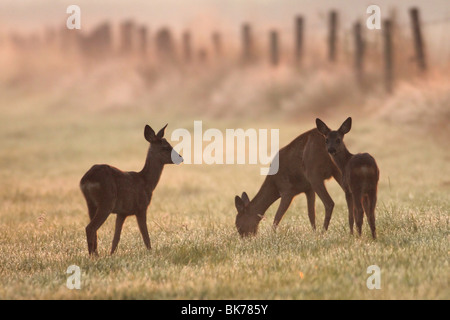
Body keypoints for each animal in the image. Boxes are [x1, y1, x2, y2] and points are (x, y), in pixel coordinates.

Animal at [79, 123, 183, 255]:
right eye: (165, 147)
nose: (181, 158)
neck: (146, 182)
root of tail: (86, 179)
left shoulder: (122, 212)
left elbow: (116, 238)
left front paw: (111, 255)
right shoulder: (141, 207)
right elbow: (146, 237)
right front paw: (150, 253)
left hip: (91, 204)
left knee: (94, 229)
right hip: (106, 202)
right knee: (90, 227)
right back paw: (95, 256)